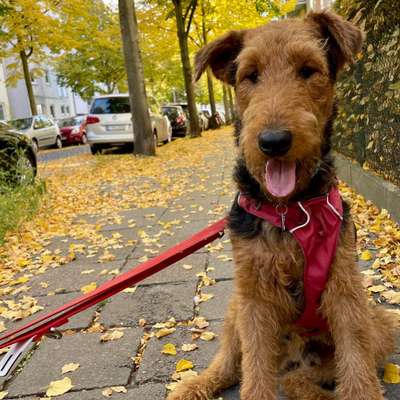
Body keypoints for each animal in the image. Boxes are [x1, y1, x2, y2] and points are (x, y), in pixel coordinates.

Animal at [167, 9, 396, 400]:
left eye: (308, 69)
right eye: (250, 75)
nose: (273, 142)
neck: (292, 212)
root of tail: (293, 359)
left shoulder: (345, 289)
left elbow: (357, 365)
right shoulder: (255, 298)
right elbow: (254, 370)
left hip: (375, 321)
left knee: (306, 377)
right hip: (236, 306)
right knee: (232, 363)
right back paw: (195, 385)